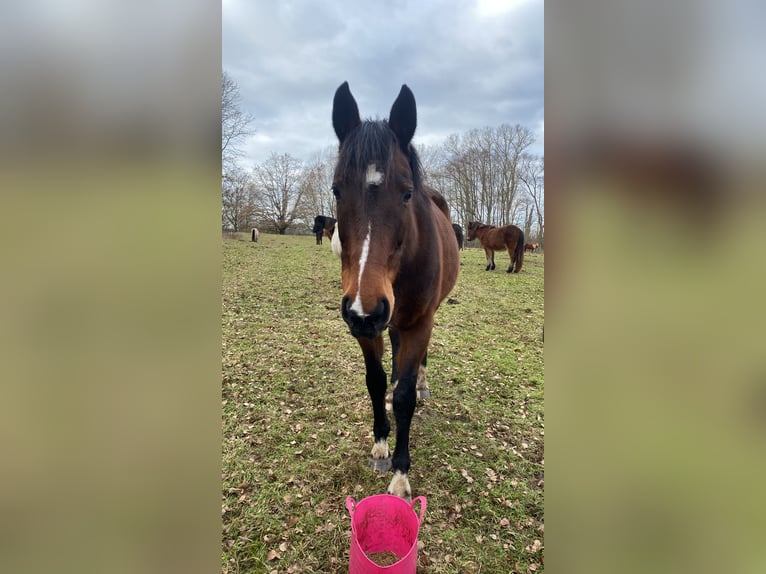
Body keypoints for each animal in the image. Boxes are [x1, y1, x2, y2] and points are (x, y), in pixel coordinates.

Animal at [332, 82, 460, 504]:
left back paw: (420, 382)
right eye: (336, 190)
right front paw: (380, 443)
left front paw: (401, 473)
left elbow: (405, 398)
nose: (365, 310)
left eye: (406, 194)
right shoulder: (364, 328)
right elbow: (374, 380)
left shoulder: (419, 322)